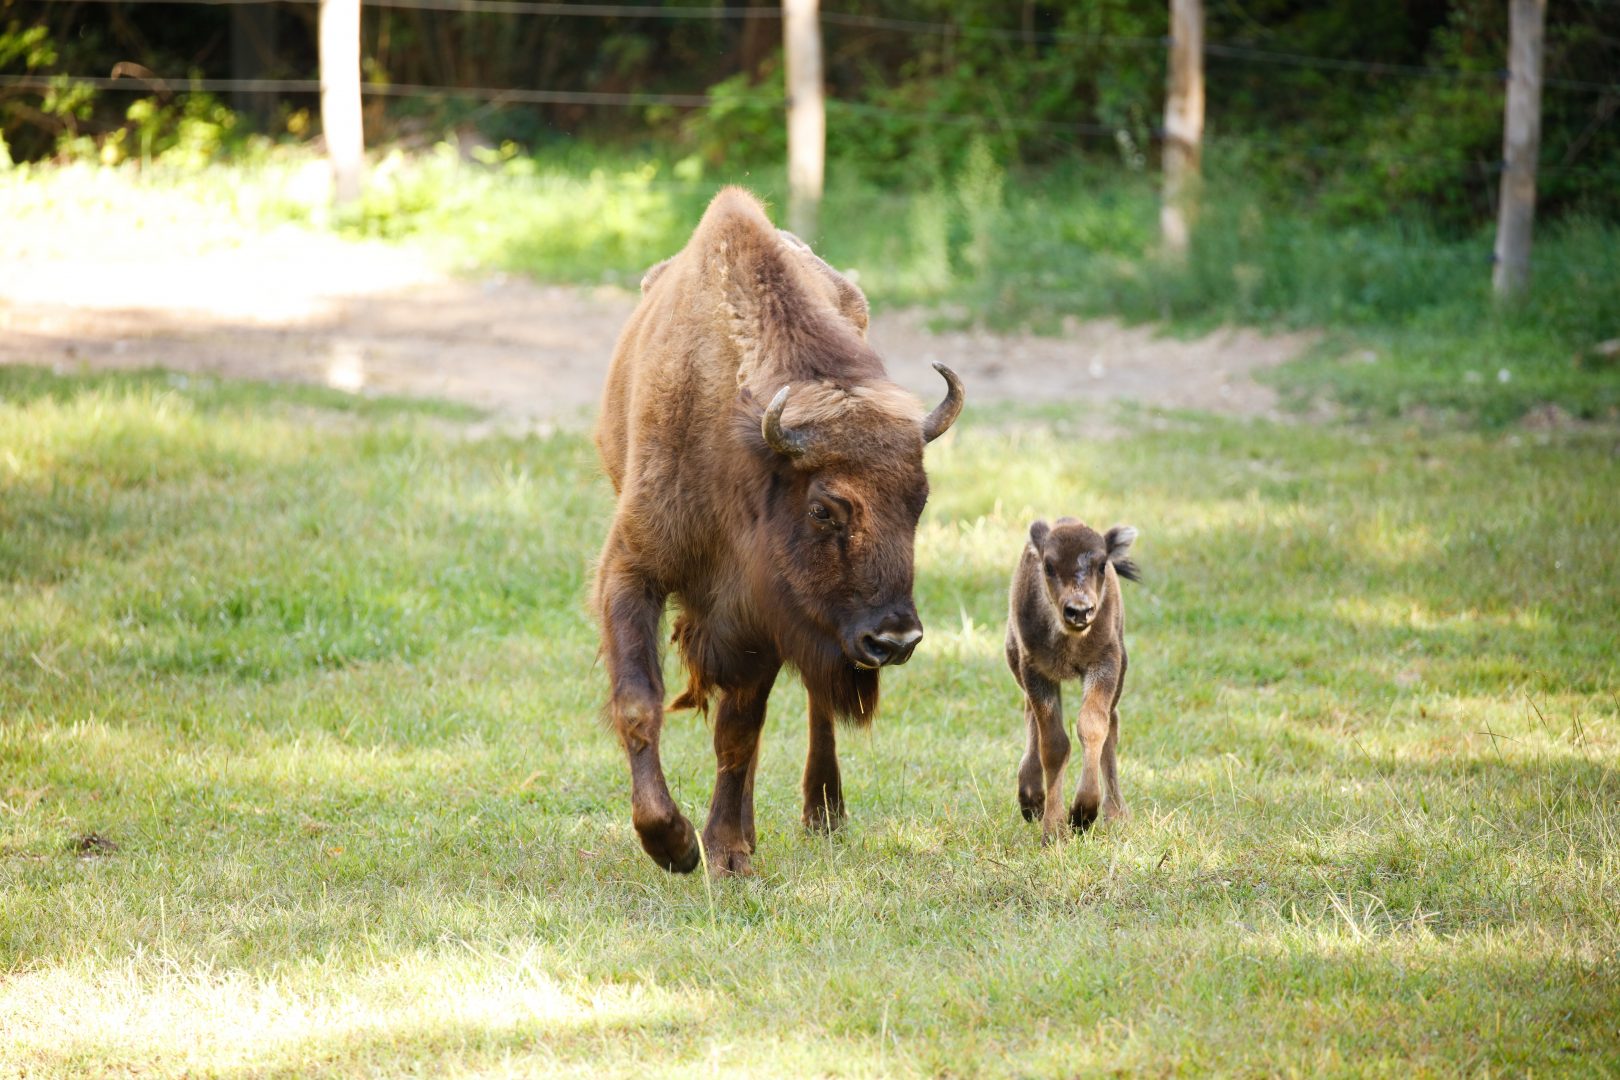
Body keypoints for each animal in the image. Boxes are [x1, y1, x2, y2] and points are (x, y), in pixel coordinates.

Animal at [592, 187, 959, 880]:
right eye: (824, 510)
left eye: (919, 502)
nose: (896, 639)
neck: (742, 456)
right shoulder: (634, 568)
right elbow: (639, 703)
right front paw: (674, 844)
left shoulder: (761, 614)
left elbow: (739, 732)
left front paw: (725, 852)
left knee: (815, 702)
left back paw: (822, 813)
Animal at [997, 518, 1140, 841]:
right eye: (1049, 565)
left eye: (1101, 564)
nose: (1079, 610)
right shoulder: (1035, 670)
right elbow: (1053, 744)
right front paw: (1053, 830)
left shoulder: (1105, 663)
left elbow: (1093, 726)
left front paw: (1082, 815)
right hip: (1016, 660)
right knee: (1030, 715)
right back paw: (1031, 799)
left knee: (1112, 723)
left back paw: (1117, 813)